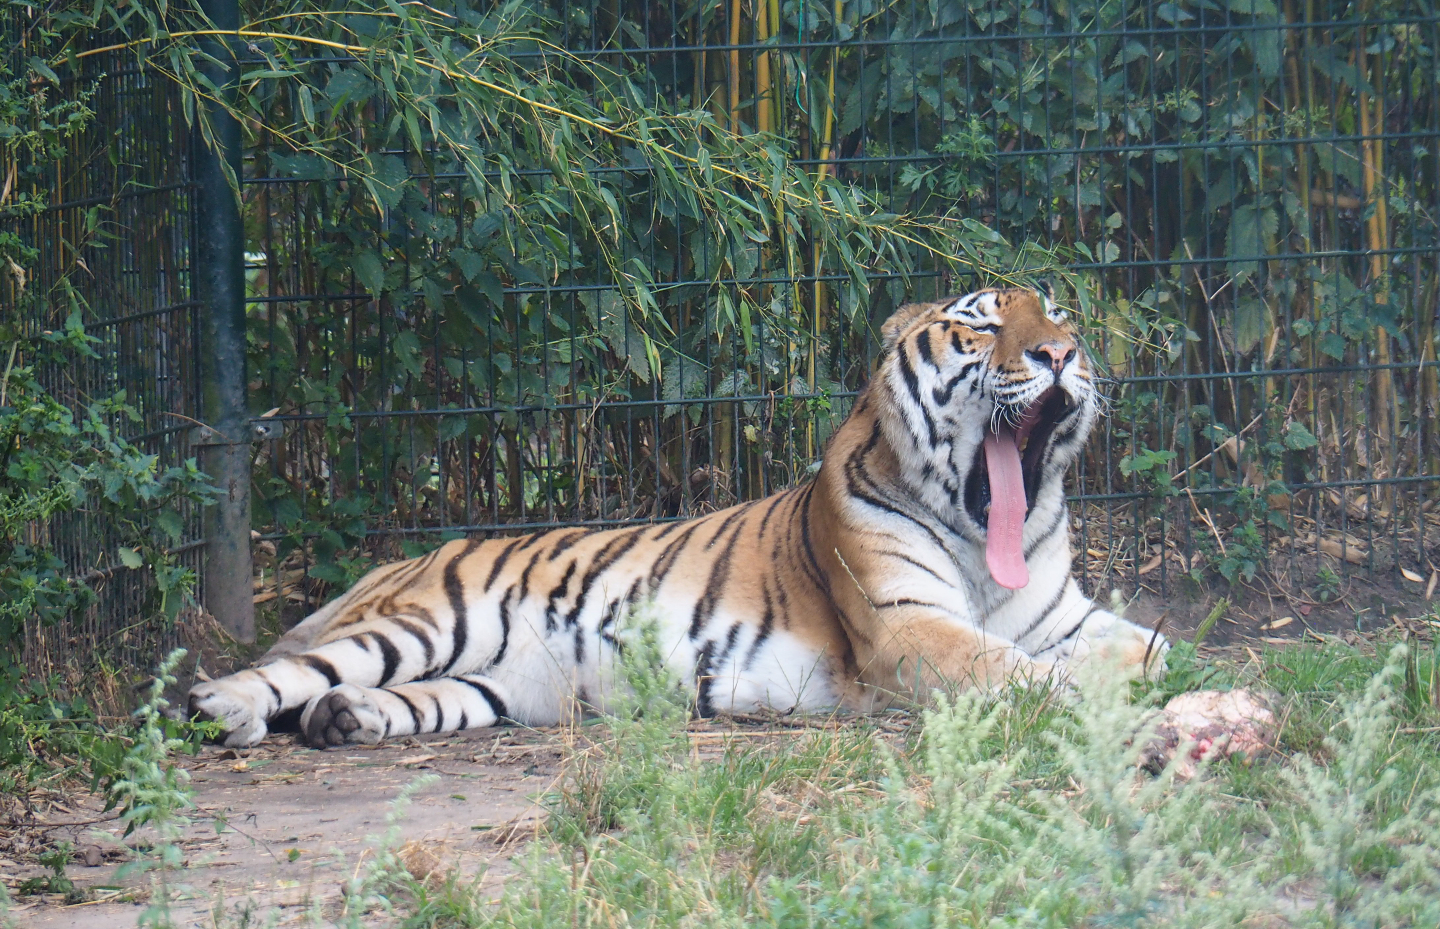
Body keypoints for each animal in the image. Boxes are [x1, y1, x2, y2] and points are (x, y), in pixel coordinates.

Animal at [189, 286, 1164, 748]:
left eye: (1059, 314)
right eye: (982, 327)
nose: (1063, 353)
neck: (985, 533)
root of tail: (395, 564)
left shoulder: (1062, 615)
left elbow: (1151, 646)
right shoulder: (908, 627)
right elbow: (1014, 669)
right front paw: (1093, 695)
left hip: (494, 684)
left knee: (383, 694)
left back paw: (343, 720)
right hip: (426, 620)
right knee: (288, 670)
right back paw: (221, 708)